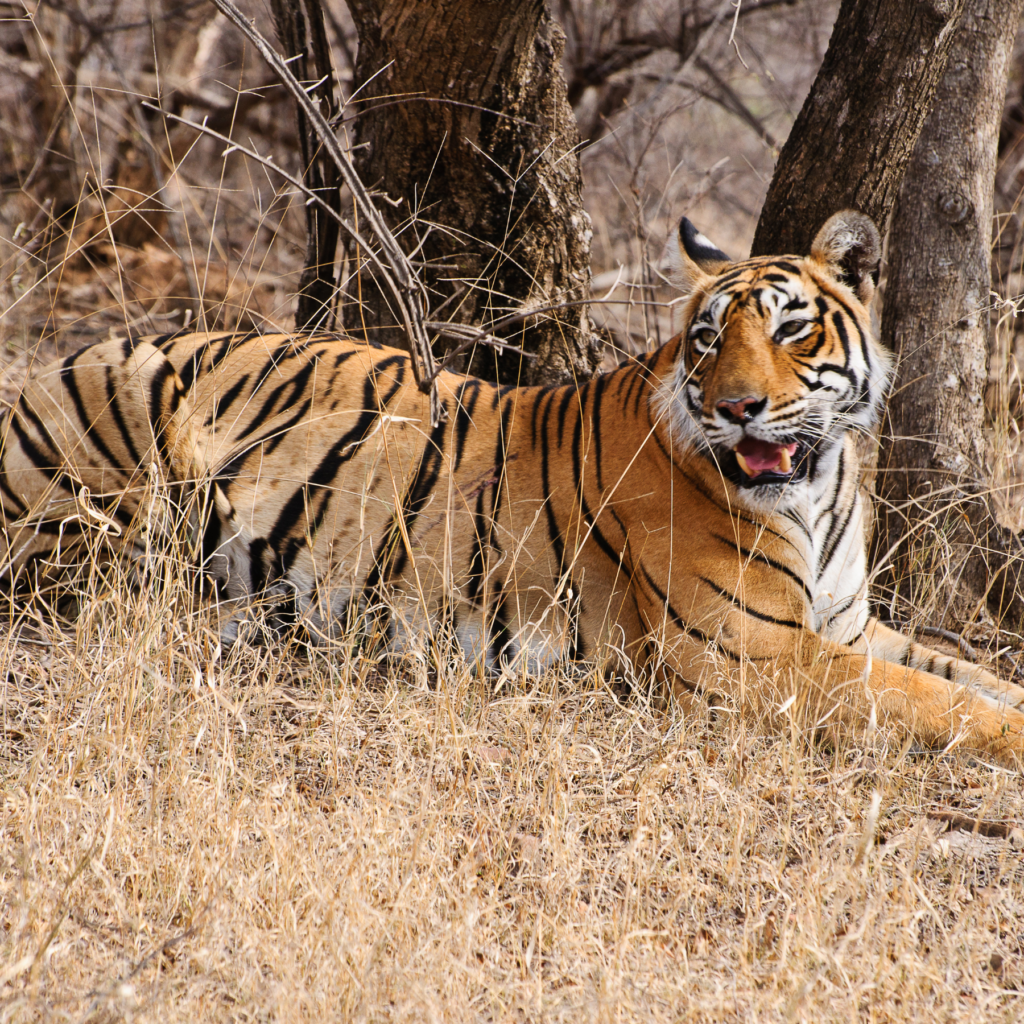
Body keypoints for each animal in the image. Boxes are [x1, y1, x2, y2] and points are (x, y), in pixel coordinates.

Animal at [2, 207, 1024, 765]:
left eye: (789, 329)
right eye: (708, 339)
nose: (736, 408)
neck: (818, 490)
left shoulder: (847, 627)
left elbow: (967, 675)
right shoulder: (747, 654)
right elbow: (936, 701)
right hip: (125, 445)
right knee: (95, 588)